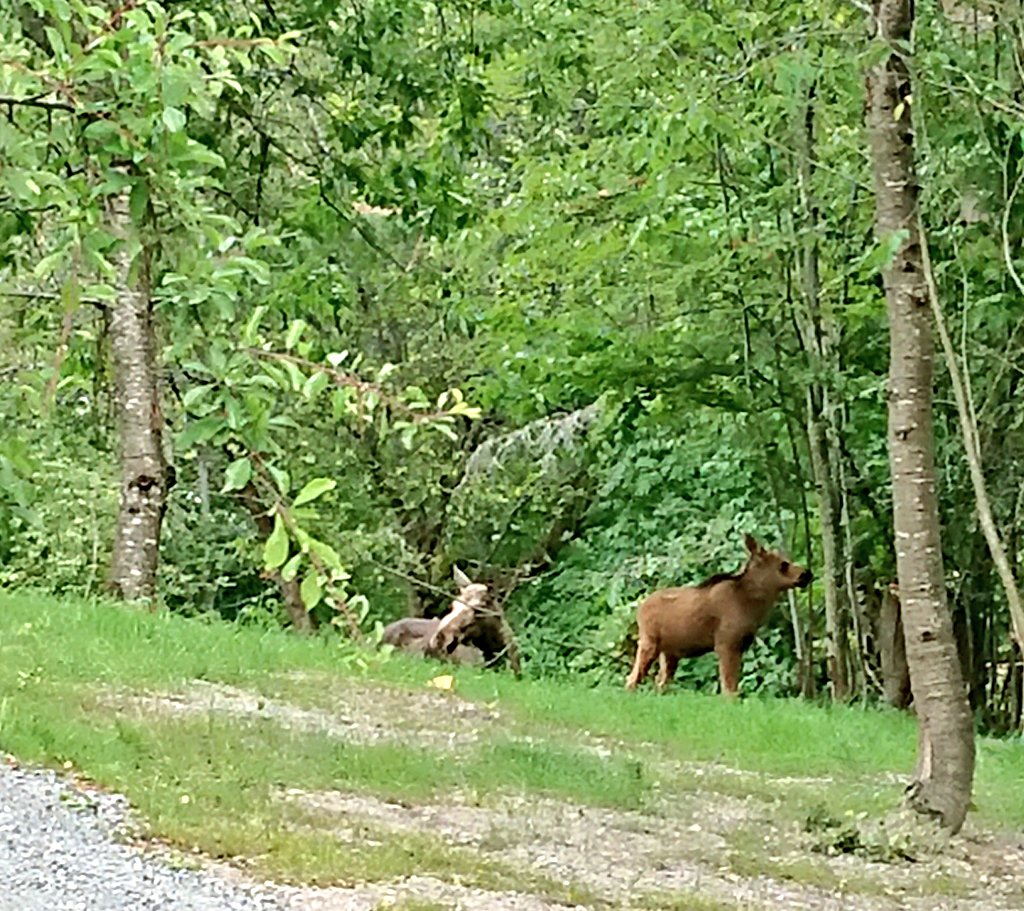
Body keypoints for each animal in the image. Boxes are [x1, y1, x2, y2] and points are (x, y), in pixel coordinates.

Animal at [625, 534, 812, 696]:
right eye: (783, 564)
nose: (807, 574)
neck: (752, 606)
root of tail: (639, 610)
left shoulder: (739, 646)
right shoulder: (726, 644)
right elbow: (729, 689)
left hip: (669, 654)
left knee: (659, 683)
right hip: (649, 642)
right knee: (632, 679)